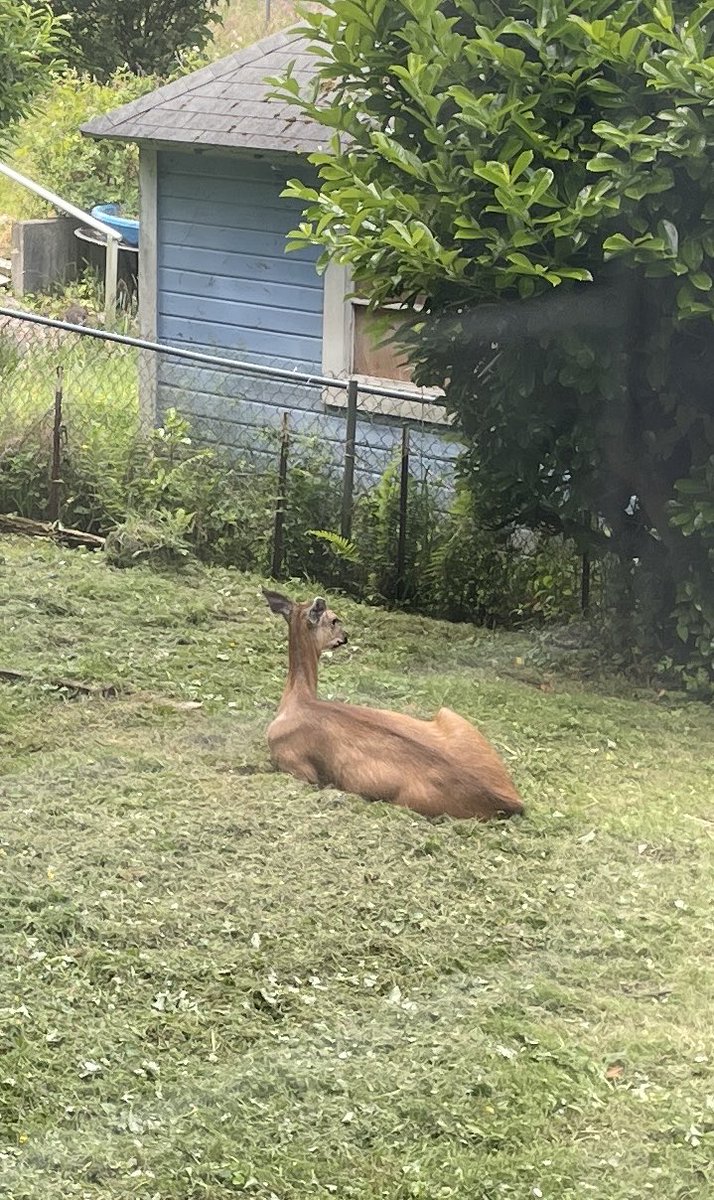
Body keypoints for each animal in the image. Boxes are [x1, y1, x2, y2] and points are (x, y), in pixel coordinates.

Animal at [263, 589, 524, 821]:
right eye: (335, 619)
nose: (345, 636)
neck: (299, 700)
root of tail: (513, 800)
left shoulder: (298, 766)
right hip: (450, 715)